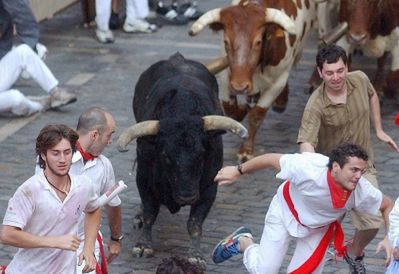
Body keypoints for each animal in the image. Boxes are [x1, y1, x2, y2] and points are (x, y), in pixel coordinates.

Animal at [116, 52, 247, 264]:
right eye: (165, 156)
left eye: (201, 154)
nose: (188, 196)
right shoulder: (144, 180)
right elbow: (150, 213)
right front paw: (143, 245)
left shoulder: (209, 188)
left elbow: (194, 223)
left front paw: (195, 255)